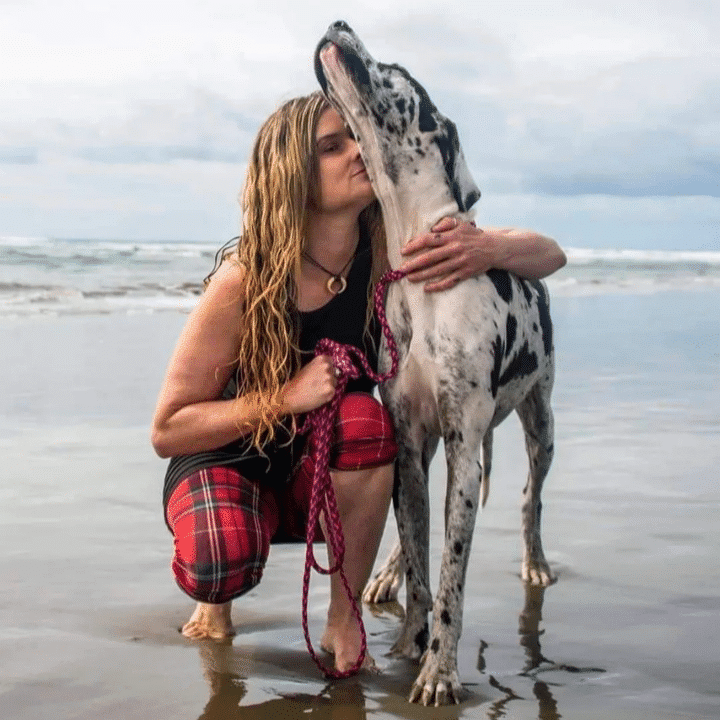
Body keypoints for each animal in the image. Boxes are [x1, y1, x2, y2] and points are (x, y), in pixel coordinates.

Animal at [314, 21, 556, 704]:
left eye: (396, 70)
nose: (339, 22)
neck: (416, 265)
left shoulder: (463, 450)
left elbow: (451, 573)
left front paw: (440, 671)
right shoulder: (408, 438)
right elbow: (424, 564)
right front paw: (409, 643)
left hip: (541, 421)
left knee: (530, 500)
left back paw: (535, 561)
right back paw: (387, 576)